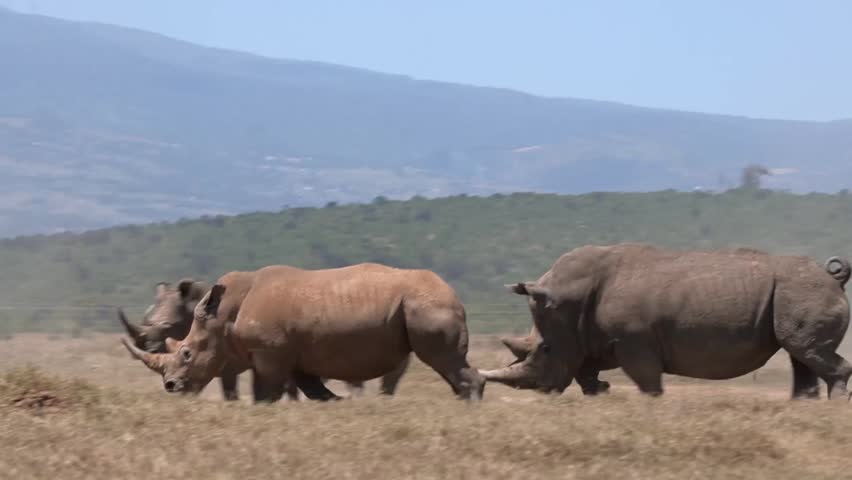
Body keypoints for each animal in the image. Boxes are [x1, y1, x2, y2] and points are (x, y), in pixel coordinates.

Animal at [481, 243, 852, 400]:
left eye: (544, 349)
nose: (541, 390)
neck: (566, 298)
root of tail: (834, 278)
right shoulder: (590, 339)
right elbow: (586, 373)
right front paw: (600, 392)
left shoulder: (634, 342)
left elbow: (648, 382)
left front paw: (650, 405)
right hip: (796, 294)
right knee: (800, 354)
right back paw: (803, 405)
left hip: (802, 290)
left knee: (805, 351)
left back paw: (834, 407)